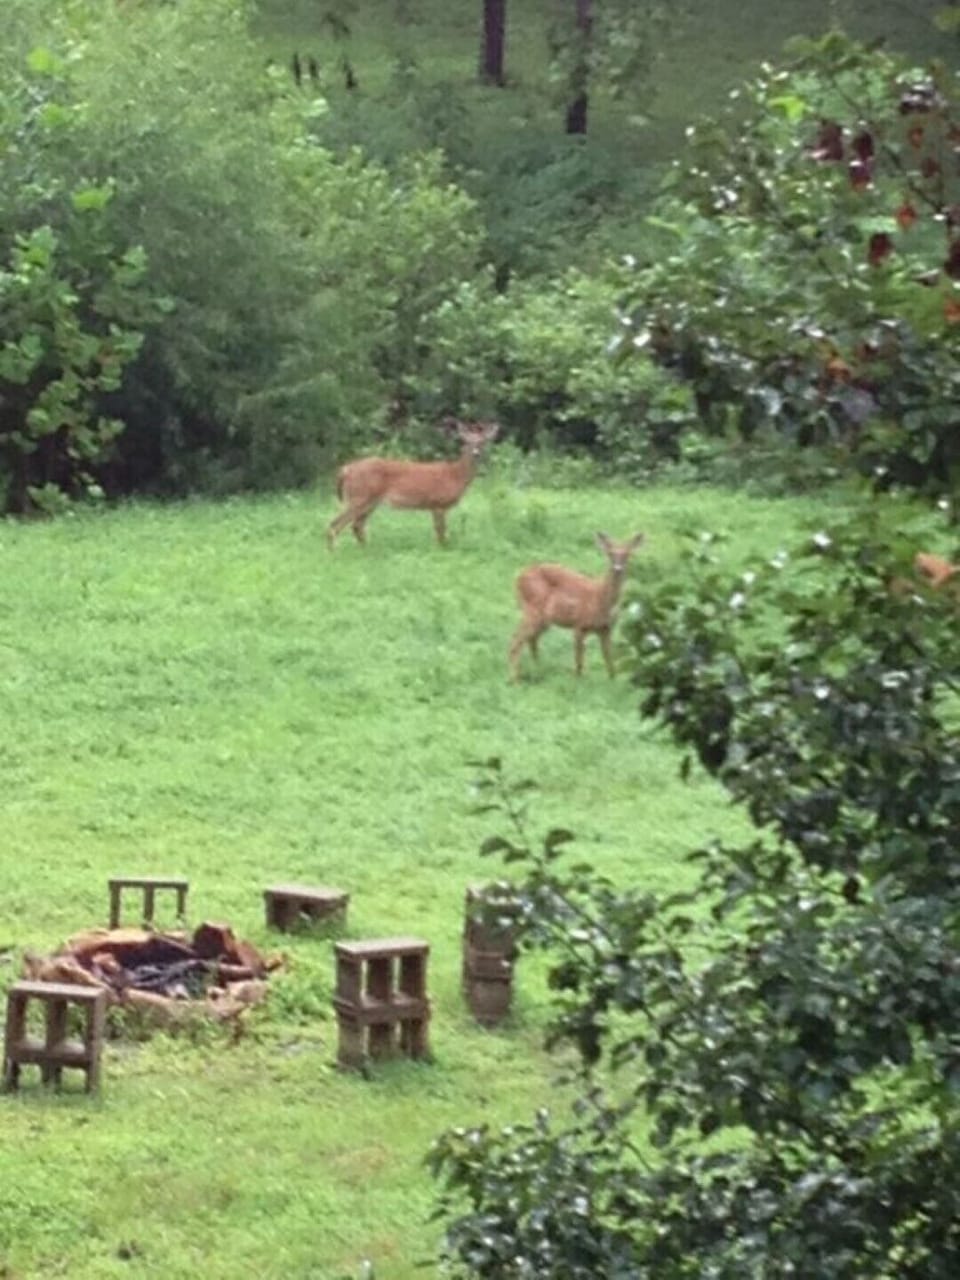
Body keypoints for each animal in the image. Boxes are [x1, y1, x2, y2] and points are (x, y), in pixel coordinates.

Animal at [326, 419, 499, 549]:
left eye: (483, 442)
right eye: (466, 442)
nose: (476, 453)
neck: (455, 476)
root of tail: (346, 470)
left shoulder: (434, 506)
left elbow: (439, 531)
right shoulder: (438, 503)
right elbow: (441, 532)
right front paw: (442, 550)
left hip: (369, 501)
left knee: (356, 526)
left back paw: (367, 550)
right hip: (359, 497)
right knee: (335, 524)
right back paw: (333, 554)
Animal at [509, 532, 645, 681]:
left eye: (627, 554)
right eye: (610, 553)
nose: (617, 568)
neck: (600, 599)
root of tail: (518, 577)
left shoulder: (606, 629)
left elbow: (610, 661)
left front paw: (612, 681)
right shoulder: (579, 624)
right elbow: (579, 662)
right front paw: (578, 681)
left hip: (544, 619)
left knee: (531, 639)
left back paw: (537, 668)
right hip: (533, 608)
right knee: (516, 640)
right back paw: (515, 679)